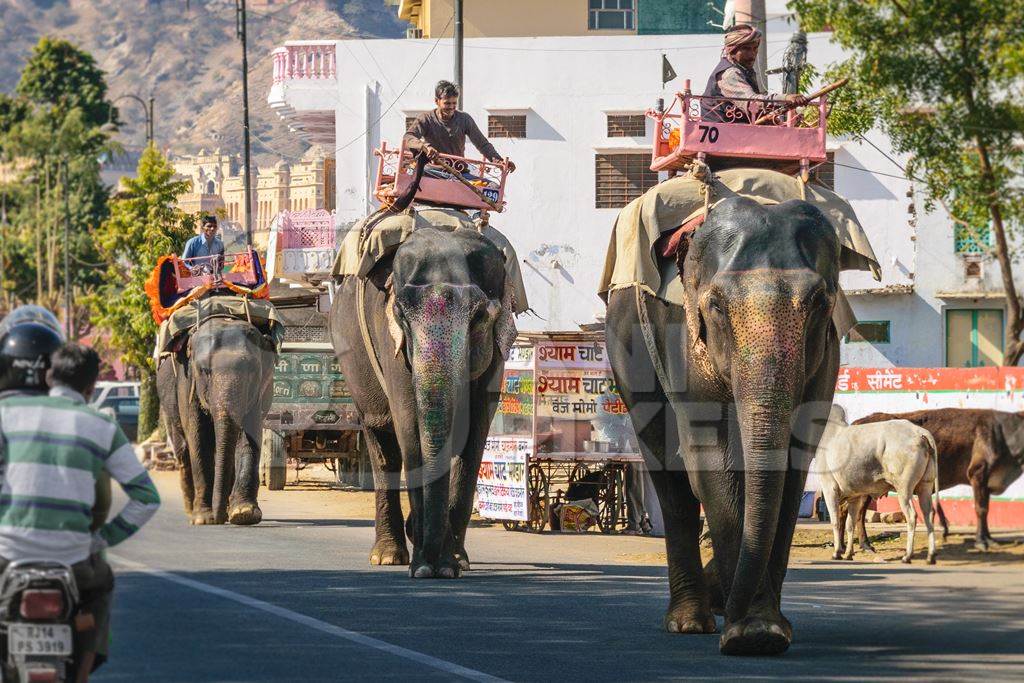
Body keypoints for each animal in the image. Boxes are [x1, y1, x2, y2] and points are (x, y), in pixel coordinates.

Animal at [157, 313, 276, 528]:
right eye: (205, 371)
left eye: (253, 370)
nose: (219, 518)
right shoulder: (187, 383)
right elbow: (198, 436)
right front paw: (204, 519)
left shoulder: (259, 389)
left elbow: (250, 433)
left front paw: (244, 514)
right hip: (167, 406)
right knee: (183, 449)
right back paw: (191, 511)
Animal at [329, 153, 516, 577]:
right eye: (401, 313)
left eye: (479, 317)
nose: (431, 565)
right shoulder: (391, 340)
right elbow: (408, 423)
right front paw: (426, 566)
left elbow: (475, 431)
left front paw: (452, 563)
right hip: (352, 360)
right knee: (383, 441)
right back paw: (388, 554)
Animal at [606, 197, 839, 655]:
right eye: (716, 306)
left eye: (820, 302)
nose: (733, 610)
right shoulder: (685, 341)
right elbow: (711, 459)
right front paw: (750, 633)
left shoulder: (826, 355)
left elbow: (792, 467)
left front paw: (765, 629)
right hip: (627, 355)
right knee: (668, 474)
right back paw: (689, 620)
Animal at [815, 409, 937, 565]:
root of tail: (920, 433)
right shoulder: (854, 496)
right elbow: (850, 524)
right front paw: (848, 554)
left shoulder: (829, 488)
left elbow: (835, 521)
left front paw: (837, 553)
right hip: (925, 486)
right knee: (929, 515)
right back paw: (930, 556)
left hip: (904, 488)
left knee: (911, 516)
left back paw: (907, 556)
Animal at [856, 409, 1024, 552]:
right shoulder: (978, 473)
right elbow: (981, 509)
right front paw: (981, 541)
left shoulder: (987, 481)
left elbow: (986, 508)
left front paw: (989, 539)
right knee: (858, 513)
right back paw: (865, 545)